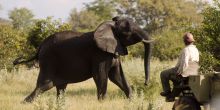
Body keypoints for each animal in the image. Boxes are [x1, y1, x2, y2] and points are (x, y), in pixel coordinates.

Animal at [12, 16, 152, 102]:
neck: (110, 25)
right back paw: (24, 103)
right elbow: (101, 76)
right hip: (48, 61)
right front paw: (101, 103)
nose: (146, 84)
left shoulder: (114, 50)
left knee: (60, 88)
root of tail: (40, 46)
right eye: (128, 32)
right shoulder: (99, 54)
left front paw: (133, 101)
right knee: (44, 86)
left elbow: (117, 76)